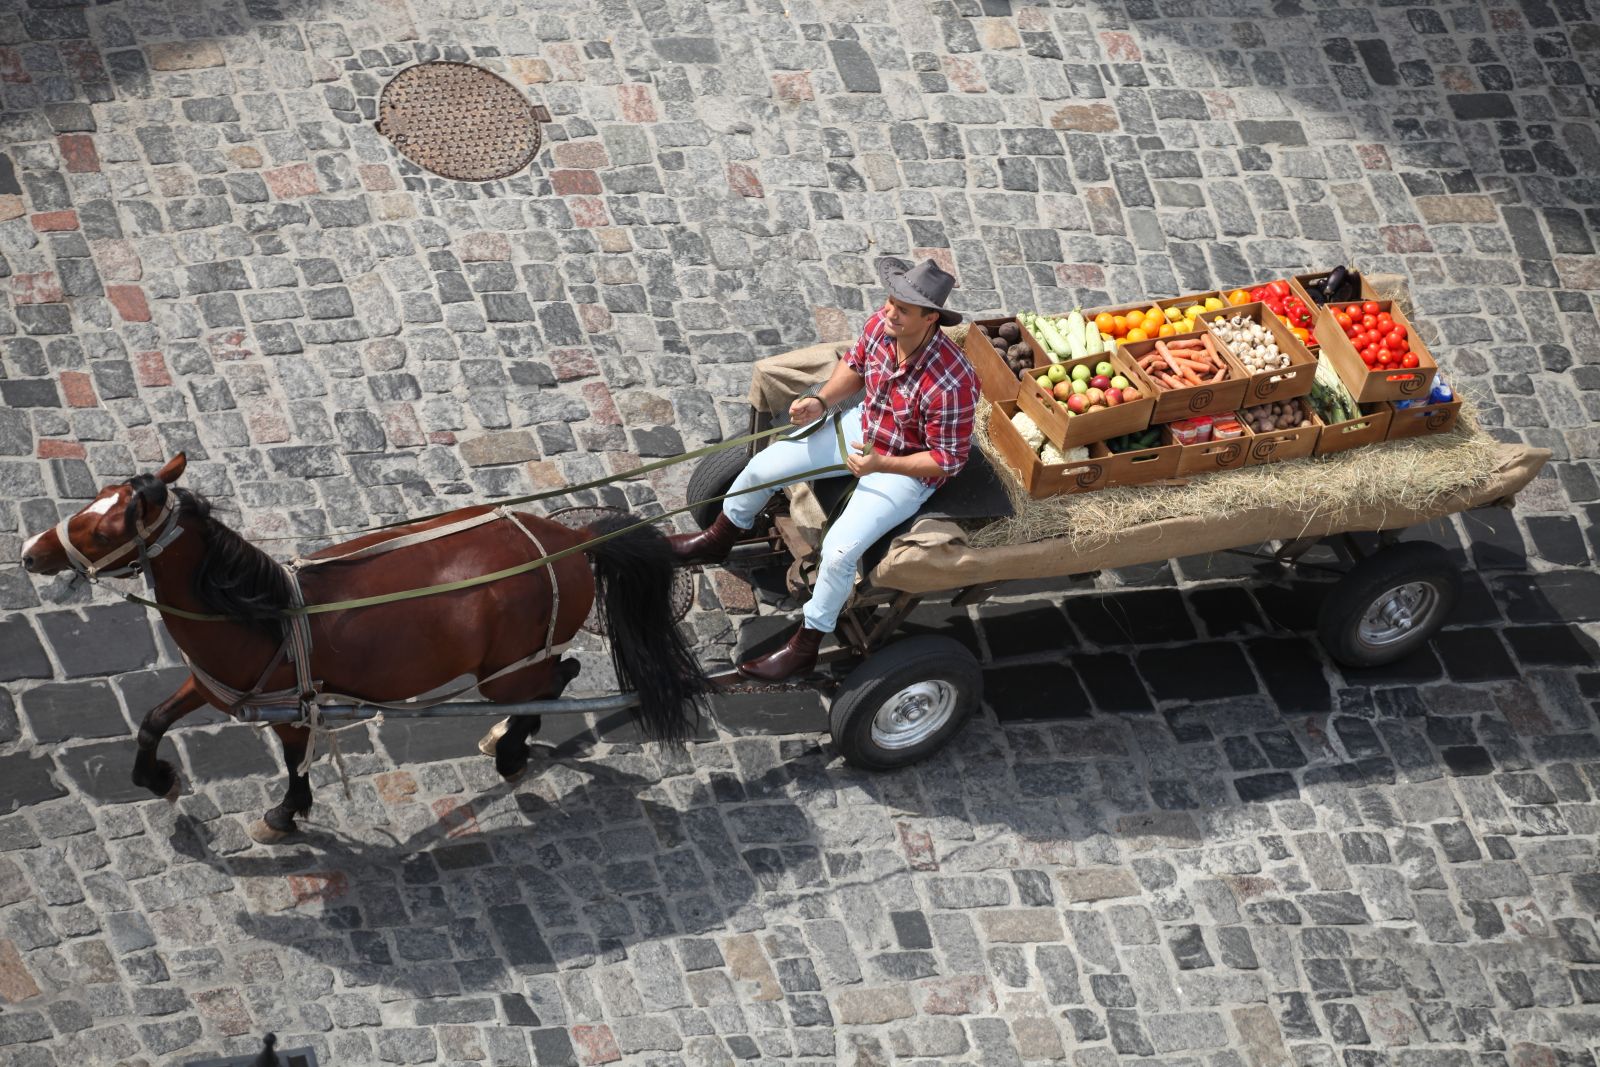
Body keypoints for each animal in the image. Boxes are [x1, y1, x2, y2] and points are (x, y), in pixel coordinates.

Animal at [17, 454, 707, 844]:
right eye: (93, 497)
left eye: (107, 527)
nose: (29, 552)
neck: (260, 613)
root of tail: (570, 538)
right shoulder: (213, 686)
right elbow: (151, 722)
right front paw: (156, 778)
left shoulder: (292, 711)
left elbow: (294, 767)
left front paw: (285, 815)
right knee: (554, 677)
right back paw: (510, 740)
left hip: (504, 673)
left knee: (556, 676)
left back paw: (514, 747)